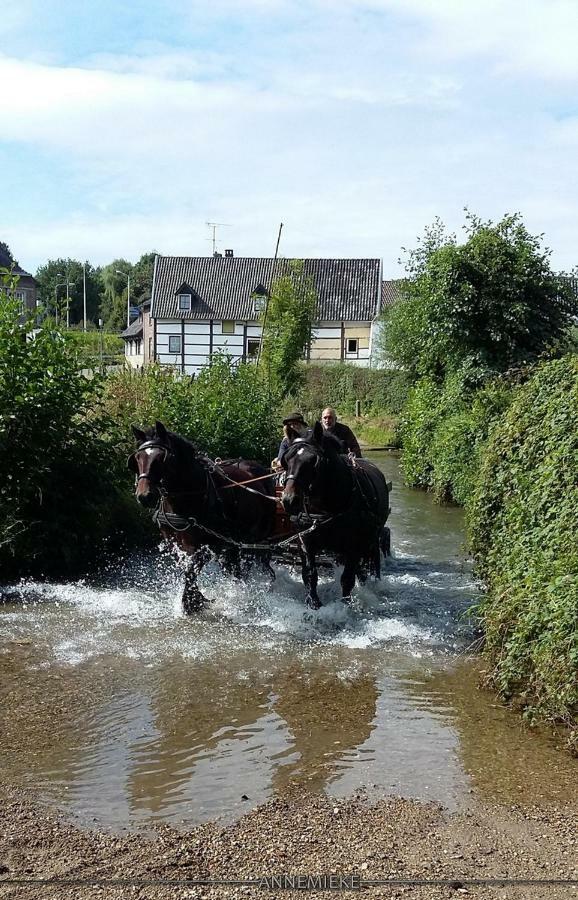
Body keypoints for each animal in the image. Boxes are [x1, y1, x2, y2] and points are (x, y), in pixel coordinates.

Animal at [129, 422, 276, 612]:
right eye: (137, 458)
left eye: (162, 458)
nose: (144, 496)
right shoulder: (173, 542)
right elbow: (186, 569)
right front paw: (196, 599)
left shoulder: (207, 544)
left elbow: (191, 569)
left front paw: (191, 602)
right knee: (235, 568)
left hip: (257, 540)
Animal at [280, 424, 390, 608]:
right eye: (286, 459)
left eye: (313, 460)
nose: (289, 500)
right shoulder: (305, 539)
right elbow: (310, 574)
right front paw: (313, 603)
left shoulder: (354, 544)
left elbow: (347, 578)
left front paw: (346, 604)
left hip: (372, 538)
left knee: (370, 560)